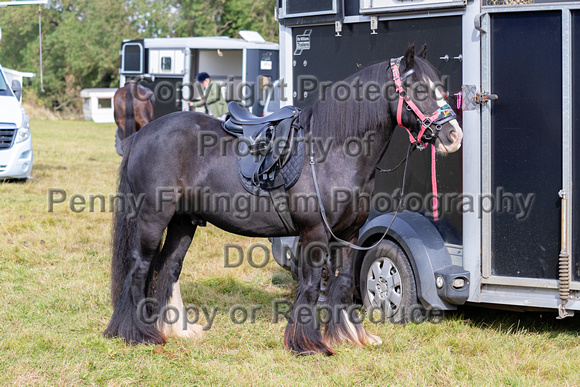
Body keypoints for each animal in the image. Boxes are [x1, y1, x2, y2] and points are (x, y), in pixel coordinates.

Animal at [105, 44, 462, 356]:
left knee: (168, 267)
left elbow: (343, 283)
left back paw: (175, 330)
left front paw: (348, 335)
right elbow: (312, 285)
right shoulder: (315, 233)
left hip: (183, 222)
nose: (453, 136)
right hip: (153, 220)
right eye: (418, 88)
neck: (330, 153)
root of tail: (142, 135)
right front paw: (308, 344)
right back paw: (138, 334)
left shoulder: (348, 236)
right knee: (139, 267)